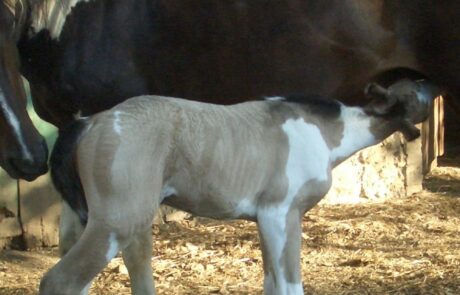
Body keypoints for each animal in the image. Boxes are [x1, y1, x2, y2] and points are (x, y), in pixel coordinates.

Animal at [41, 79, 436, 295]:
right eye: (414, 87)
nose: (433, 83)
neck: (324, 132)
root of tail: (90, 122)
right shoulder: (281, 215)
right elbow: (290, 284)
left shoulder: (265, 222)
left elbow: (271, 283)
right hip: (116, 225)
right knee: (59, 282)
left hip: (92, 226)